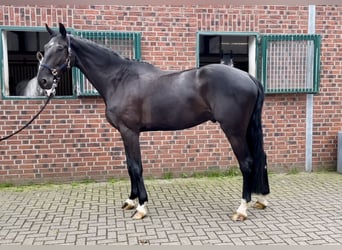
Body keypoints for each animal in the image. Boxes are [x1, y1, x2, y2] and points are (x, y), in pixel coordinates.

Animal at [36, 23, 270, 219]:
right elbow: (130, 165)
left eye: (59, 48)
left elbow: (137, 167)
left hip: (234, 131)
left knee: (247, 163)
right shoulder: (124, 133)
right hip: (245, 129)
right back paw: (260, 200)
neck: (119, 80)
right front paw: (130, 200)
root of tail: (248, 77)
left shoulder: (130, 131)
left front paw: (141, 207)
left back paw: (241, 209)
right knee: (260, 158)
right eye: (45, 47)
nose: (43, 81)